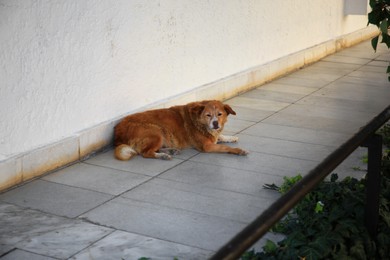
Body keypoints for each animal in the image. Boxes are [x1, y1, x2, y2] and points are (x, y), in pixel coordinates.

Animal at [113, 100, 247, 159]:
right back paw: (163, 155)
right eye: (208, 115)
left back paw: (171, 150)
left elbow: (221, 136)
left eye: (220, 114)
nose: (215, 124)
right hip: (156, 131)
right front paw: (238, 150)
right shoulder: (206, 146)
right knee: (145, 152)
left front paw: (231, 137)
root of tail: (117, 132)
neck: (198, 121)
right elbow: (224, 147)